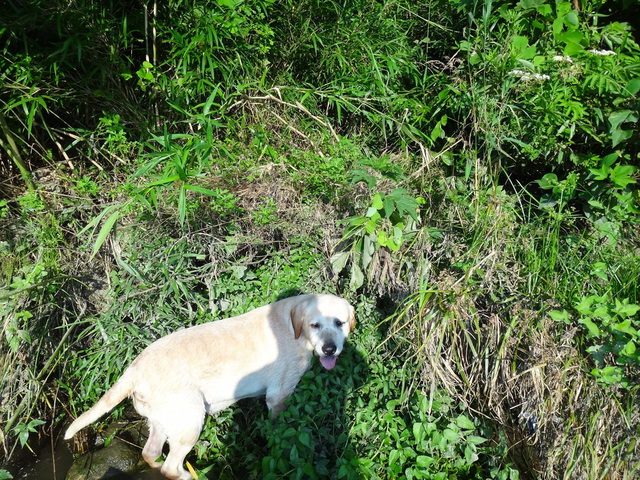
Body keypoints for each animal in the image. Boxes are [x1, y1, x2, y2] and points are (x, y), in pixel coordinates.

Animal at [65, 294, 356, 478]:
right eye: (315, 324)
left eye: (339, 323)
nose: (329, 349)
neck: (295, 328)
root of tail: (133, 370)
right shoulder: (279, 396)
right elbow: (280, 431)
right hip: (191, 420)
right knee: (171, 467)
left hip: (164, 421)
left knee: (150, 454)